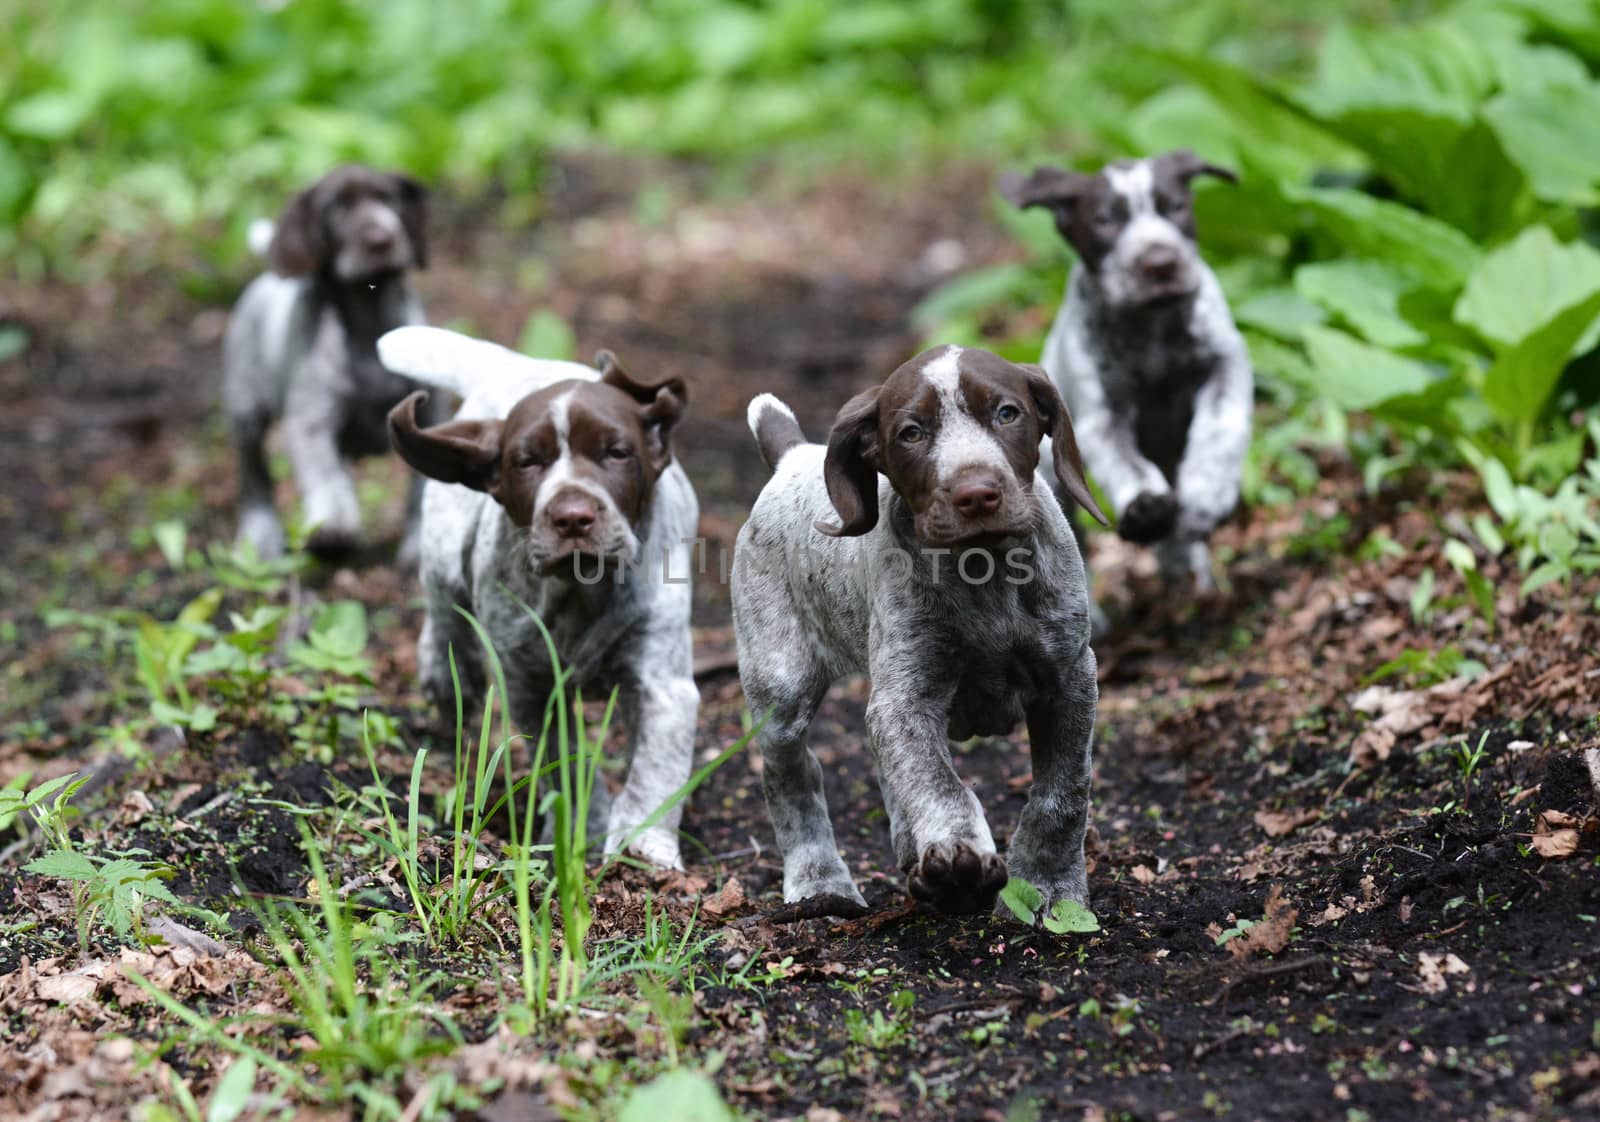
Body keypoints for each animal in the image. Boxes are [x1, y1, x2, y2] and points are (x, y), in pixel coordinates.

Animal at [224, 161, 438, 563]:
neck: (368, 323)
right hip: (245, 412)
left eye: (389, 198)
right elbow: (325, 479)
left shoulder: (429, 418)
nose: (381, 238)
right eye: (335, 209)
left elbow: (422, 486)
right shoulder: (312, 424)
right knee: (255, 477)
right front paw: (334, 528)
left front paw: (421, 540)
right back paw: (261, 533)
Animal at [377, 323, 704, 864]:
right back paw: (443, 677)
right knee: (444, 621)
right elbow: (564, 762)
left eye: (617, 453)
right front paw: (580, 831)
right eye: (527, 462)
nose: (572, 517)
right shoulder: (533, 687)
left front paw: (643, 852)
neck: (579, 592)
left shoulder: (663, 683)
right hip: (443, 554)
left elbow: (653, 773)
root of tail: (515, 364)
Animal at [732, 345, 1107, 915]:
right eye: (912, 432)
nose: (977, 493)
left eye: (1007, 413)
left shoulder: (1069, 678)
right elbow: (936, 783)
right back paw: (821, 881)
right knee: (791, 774)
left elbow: (1062, 793)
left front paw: (1048, 886)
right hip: (780, 687)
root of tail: (793, 456)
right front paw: (958, 859)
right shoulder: (906, 697)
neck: (983, 568)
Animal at [998, 146, 1248, 621]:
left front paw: (1206, 497)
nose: (1160, 263)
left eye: (1175, 207)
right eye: (1104, 220)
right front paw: (1144, 507)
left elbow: (1219, 432)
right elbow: (1126, 464)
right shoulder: (1102, 416)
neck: (1151, 328)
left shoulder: (1224, 369)